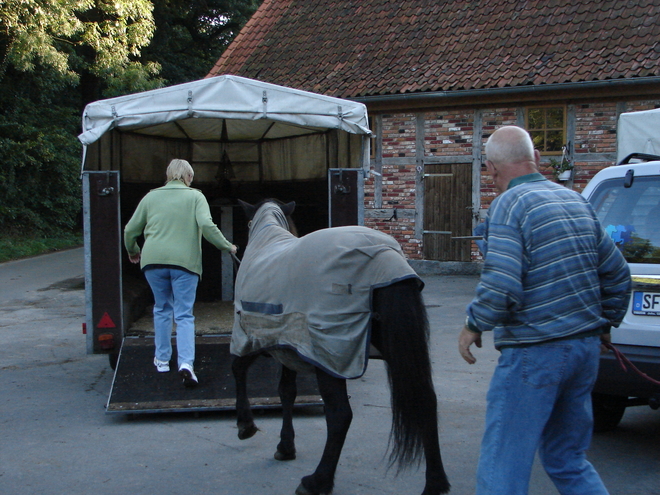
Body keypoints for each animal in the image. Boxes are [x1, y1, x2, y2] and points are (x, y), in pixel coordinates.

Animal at [229, 199, 452, 495]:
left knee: (339, 416)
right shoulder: (289, 347)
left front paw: (245, 424)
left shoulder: (253, 337)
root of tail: (385, 258)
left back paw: (317, 481)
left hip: (332, 357)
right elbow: (286, 392)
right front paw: (285, 447)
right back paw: (435, 483)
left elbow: (238, 369)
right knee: (426, 400)